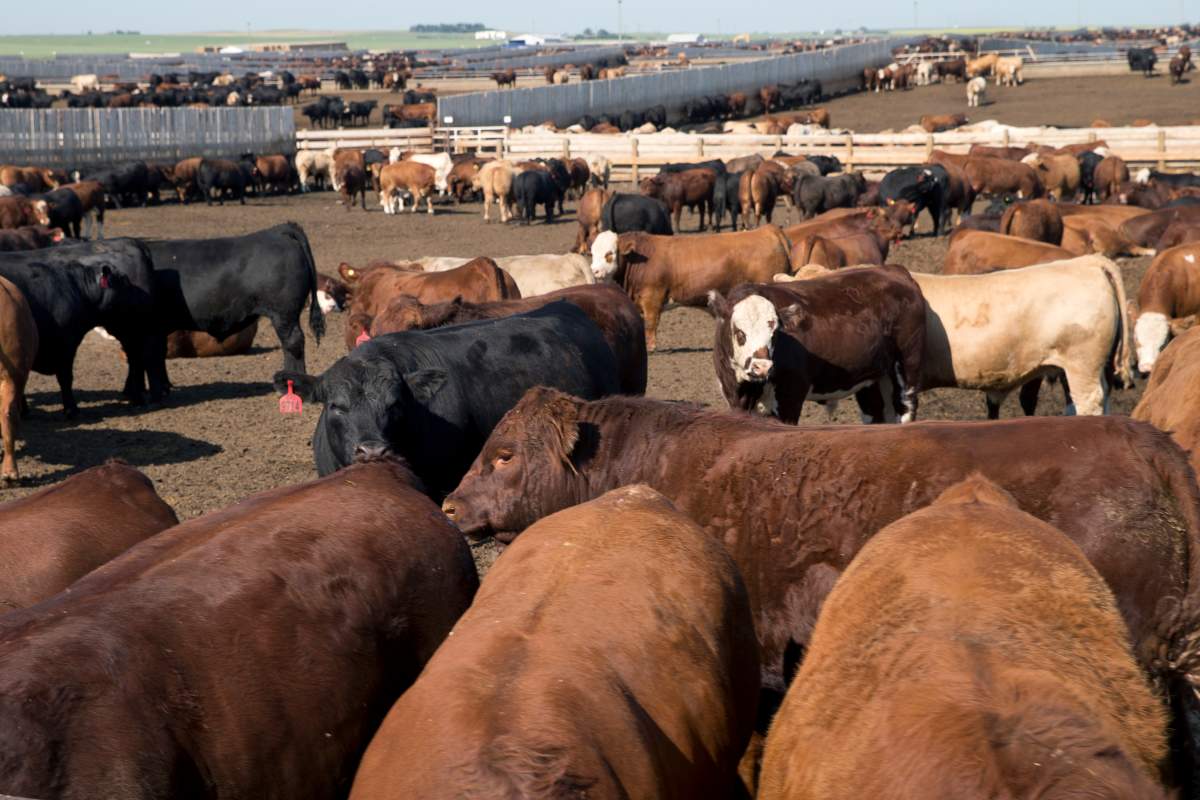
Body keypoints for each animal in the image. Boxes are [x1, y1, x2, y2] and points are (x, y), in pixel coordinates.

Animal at [594, 226, 791, 349]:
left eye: (609, 254)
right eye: (593, 252)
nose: (594, 270)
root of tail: (767, 230)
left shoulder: (652, 297)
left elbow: (650, 324)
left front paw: (650, 348)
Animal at [709, 266, 925, 425]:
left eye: (775, 332)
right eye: (739, 332)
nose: (762, 367)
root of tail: (896, 271)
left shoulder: (790, 396)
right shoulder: (733, 398)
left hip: (906, 367)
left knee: (905, 406)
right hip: (872, 376)